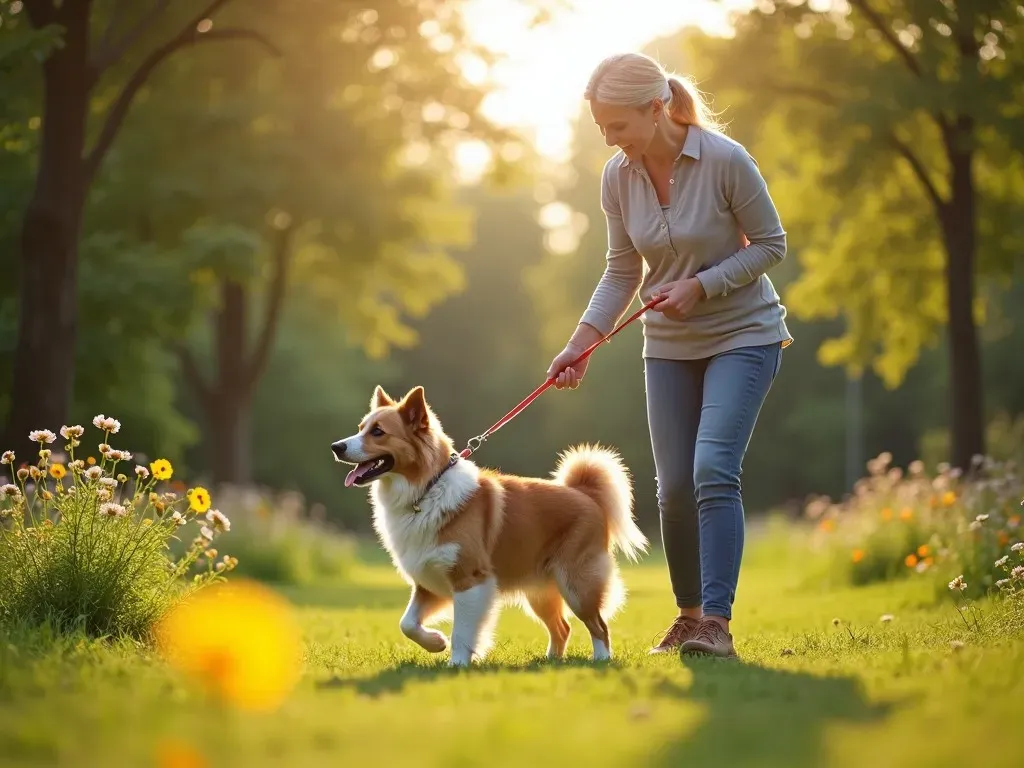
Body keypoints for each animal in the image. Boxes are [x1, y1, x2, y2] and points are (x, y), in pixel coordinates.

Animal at [329, 385, 647, 667]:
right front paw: (436, 642)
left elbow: (461, 632)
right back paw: (550, 662)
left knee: (599, 626)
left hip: (576, 585)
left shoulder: (470, 579)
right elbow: (406, 623)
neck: (427, 490)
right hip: (540, 592)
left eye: (378, 432)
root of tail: (585, 493)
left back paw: (600, 660)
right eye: (361, 427)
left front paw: (457, 663)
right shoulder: (429, 580)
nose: (336, 446)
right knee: (562, 628)